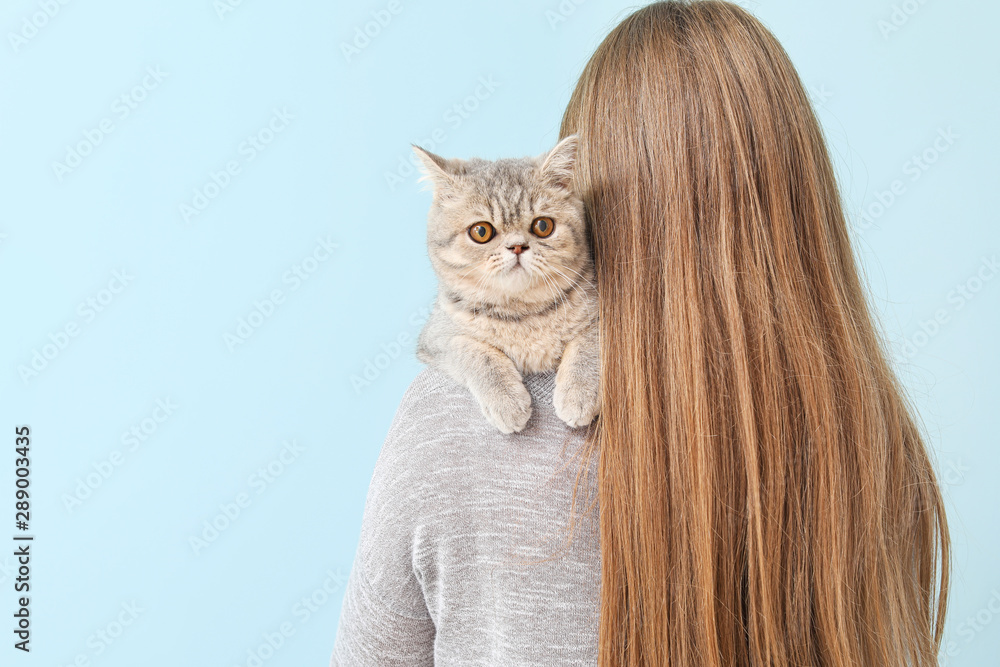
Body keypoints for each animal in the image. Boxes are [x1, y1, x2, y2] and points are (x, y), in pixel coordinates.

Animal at [410, 138, 596, 436]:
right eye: (481, 231)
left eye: (543, 225)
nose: (517, 246)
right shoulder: (436, 337)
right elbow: (473, 350)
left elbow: (590, 344)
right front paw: (506, 402)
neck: (524, 316)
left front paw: (578, 394)